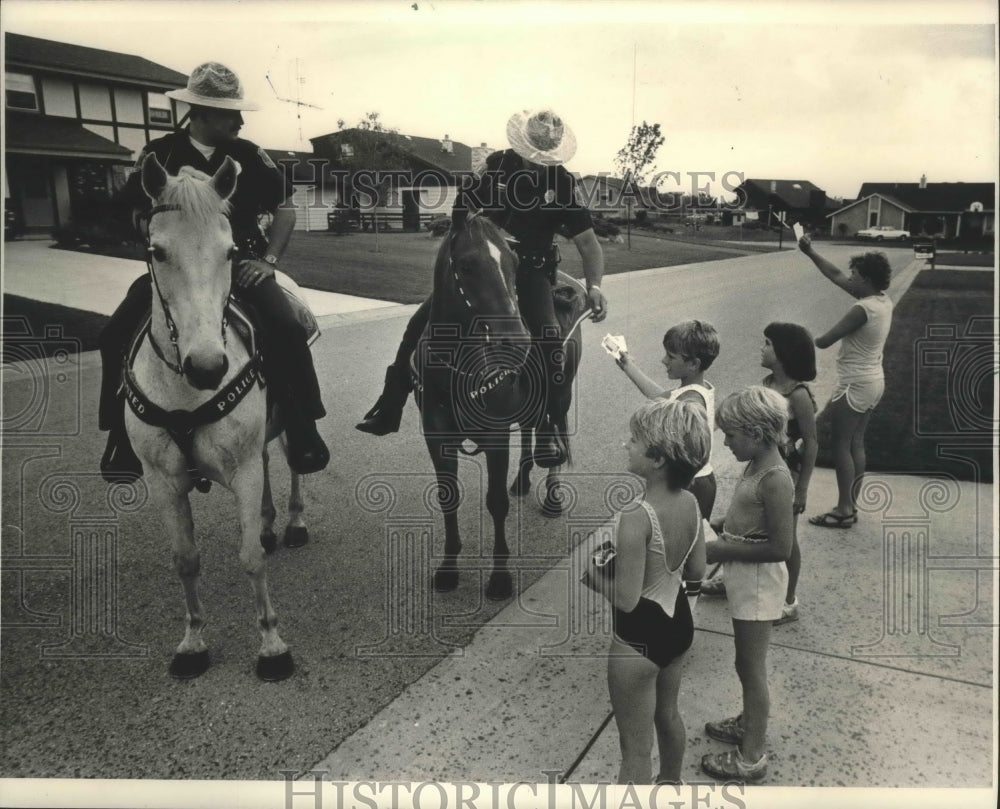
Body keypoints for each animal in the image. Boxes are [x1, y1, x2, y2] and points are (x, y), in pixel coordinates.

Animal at [125, 153, 304, 680]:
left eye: (229, 253)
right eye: (158, 251)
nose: (207, 367)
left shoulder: (240, 470)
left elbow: (250, 559)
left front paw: (271, 645)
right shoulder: (162, 481)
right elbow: (185, 560)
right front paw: (193, 641)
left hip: (289, 431)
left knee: (293, 464)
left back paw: (293, 522)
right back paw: (267, 524)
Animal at [414, 208, 584, 600]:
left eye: (513, 262)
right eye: (466, 264)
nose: (518, 340)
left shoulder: (494, 435)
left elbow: (495, 503)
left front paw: (500, 576)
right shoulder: (436, 434)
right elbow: (448, 497)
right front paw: (448, 569)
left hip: (563, 392)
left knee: (556, 429)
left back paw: (552, 493)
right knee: (531, 430)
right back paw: (522, 479)